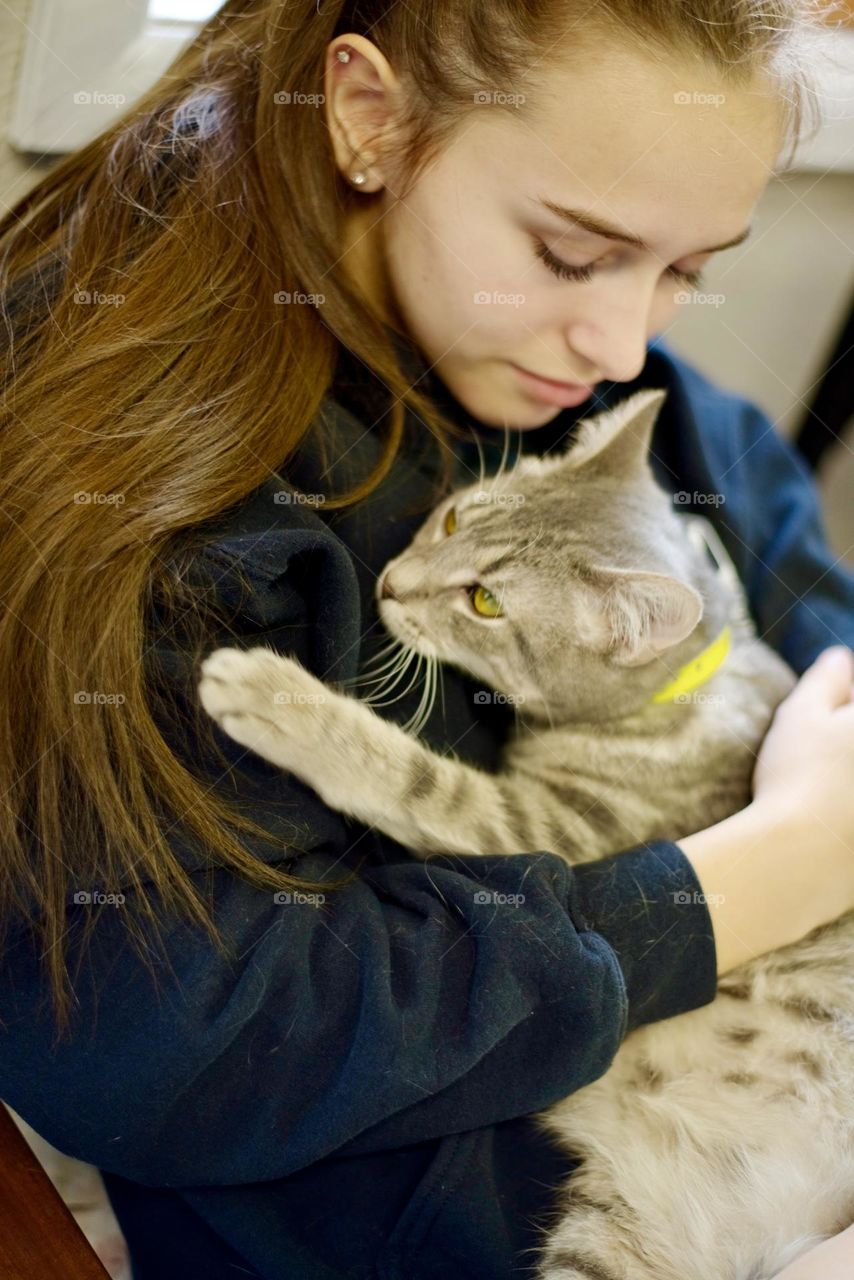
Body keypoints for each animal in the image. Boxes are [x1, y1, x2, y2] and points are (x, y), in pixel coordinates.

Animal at [198, 389, 854, 1280]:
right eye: (450, 520)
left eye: (485, 603)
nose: (391, 585)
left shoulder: (546, 830)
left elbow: (414, 778)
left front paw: (278, 697)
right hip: (614, 1237)